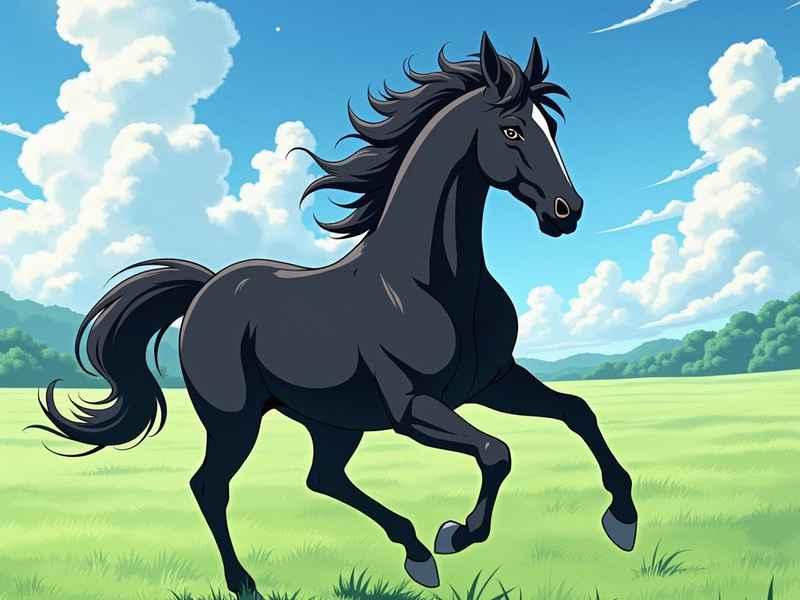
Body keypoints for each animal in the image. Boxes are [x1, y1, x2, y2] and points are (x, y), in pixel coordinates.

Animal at [31, 33, 638, 597]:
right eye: (512, 130)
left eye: (550, 127)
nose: (567, 211)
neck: (431, 285)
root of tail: (207, 289)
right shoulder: (413, 408)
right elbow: (496, 452)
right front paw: (457, 533)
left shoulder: (494, 381)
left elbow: (578, 412)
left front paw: (623, 520)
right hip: (235, 419)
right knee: (211, 486)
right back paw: (248, 582)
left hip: (333, 418)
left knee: (322, 478)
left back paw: (415, 553)